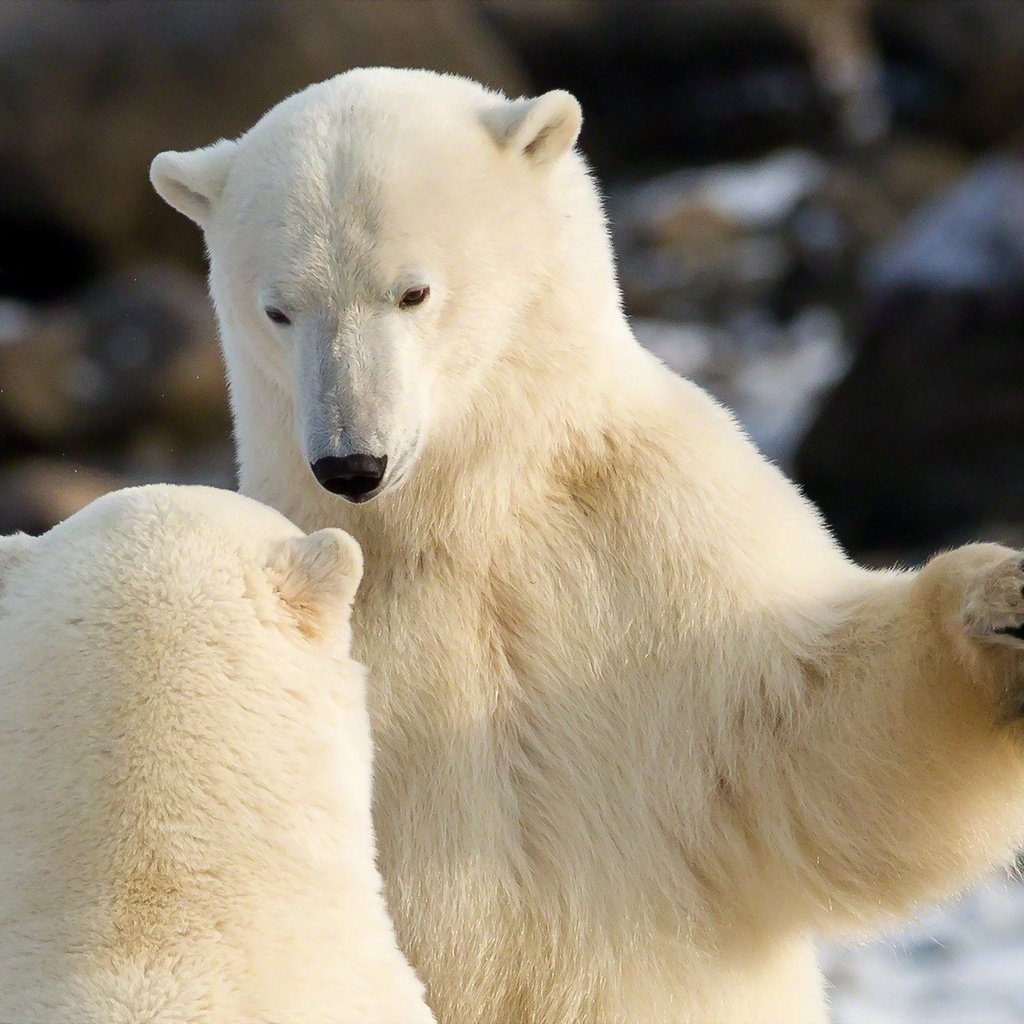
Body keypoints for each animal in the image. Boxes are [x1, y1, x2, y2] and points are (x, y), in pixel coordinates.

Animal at [149, 72, 1024, 1024]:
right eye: (278, 309)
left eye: (412, 292)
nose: (351, 462)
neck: (458, 513)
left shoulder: (659, 529)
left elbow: (812, 729)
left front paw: (999, 610)